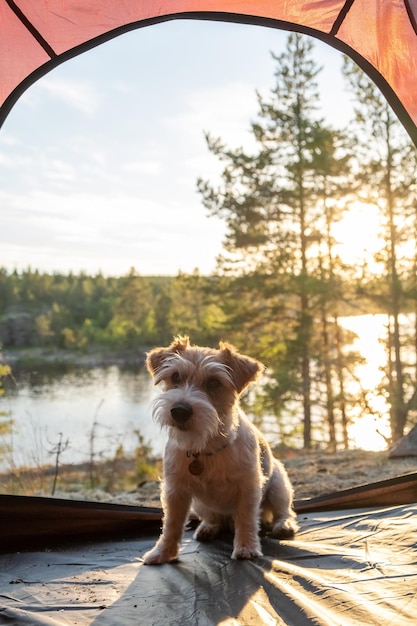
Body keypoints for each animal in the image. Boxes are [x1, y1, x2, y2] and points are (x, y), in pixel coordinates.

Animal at [141, 334, 298, 564]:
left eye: (214, 382)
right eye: (175, 376)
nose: (179, 411)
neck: (205, 449)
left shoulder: (248, 487)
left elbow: (246, 519)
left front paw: (246, 547)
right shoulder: (175, 490)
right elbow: (172, 524)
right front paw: (162, 552)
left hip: (279, 484)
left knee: (283, 510)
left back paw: (283, 525)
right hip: (200, 504)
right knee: (213, 518)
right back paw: (208, 527)